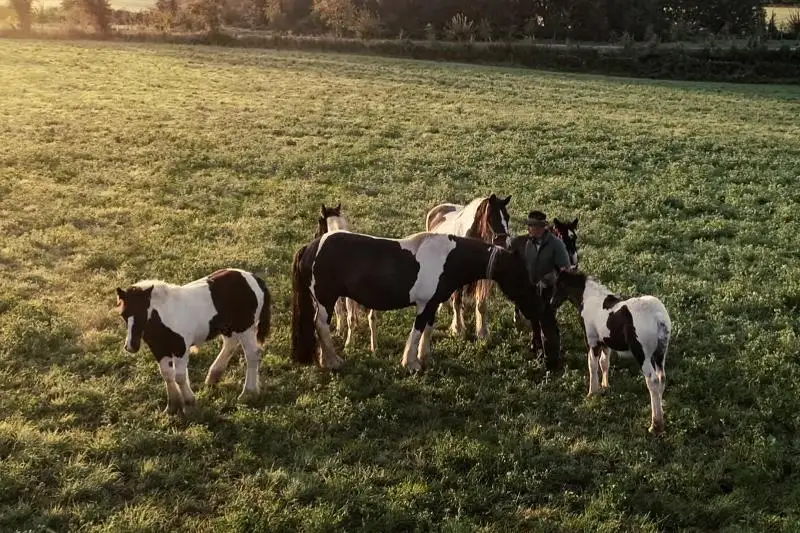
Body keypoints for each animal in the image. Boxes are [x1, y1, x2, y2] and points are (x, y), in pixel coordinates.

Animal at [115, 268, 271, 414]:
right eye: (123, 314)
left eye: (143, 313)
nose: (131, 346)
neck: (165, 317)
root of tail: (254, 278)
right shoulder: (159, 350)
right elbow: (167, 374)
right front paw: (171, 407)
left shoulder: (181, 348)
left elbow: (179, 376)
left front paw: (189, 405)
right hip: (229, 327)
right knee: (230, 344)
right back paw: (213, 377)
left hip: (245, 327)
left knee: (252, 354)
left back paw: (248, 393)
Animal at [290, 231, 539, 373]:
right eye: (521, 275)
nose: (531, 309)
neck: (448, 258)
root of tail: (310, 248)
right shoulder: (424, 305)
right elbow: (417, 331)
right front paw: (411, 363)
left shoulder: (433, 304)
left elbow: (427, 330)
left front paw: (423, 357)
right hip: (326, 300)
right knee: (321, 325)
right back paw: (333, 361)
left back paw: (325, 360)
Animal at [315, 202, 378, 352]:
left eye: (319, 220)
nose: (315, 235)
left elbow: (339, 310)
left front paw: (339, 330)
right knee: (372, 318)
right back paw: (374, 347)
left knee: (350, 317)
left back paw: (348, 344)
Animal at [425, 194, 512, 339]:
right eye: (491, 217)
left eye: (507, 217)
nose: (504, 244)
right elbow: (457, 302)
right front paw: (457, 329)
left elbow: (481, 305)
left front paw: (482, 333)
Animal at [550, 270, 672, 434]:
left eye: (558, 284)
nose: (551, 303)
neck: (589, 298)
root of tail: (658, 317)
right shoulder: (605, 342)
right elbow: (604, 363)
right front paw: (605, 386)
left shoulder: (592, 341)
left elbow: (592, 365)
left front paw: (592, 392)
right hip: (660, 354)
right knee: (661, 378)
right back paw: (661, 419)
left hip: (643, 355)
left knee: (652, 381)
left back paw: (655, 425)